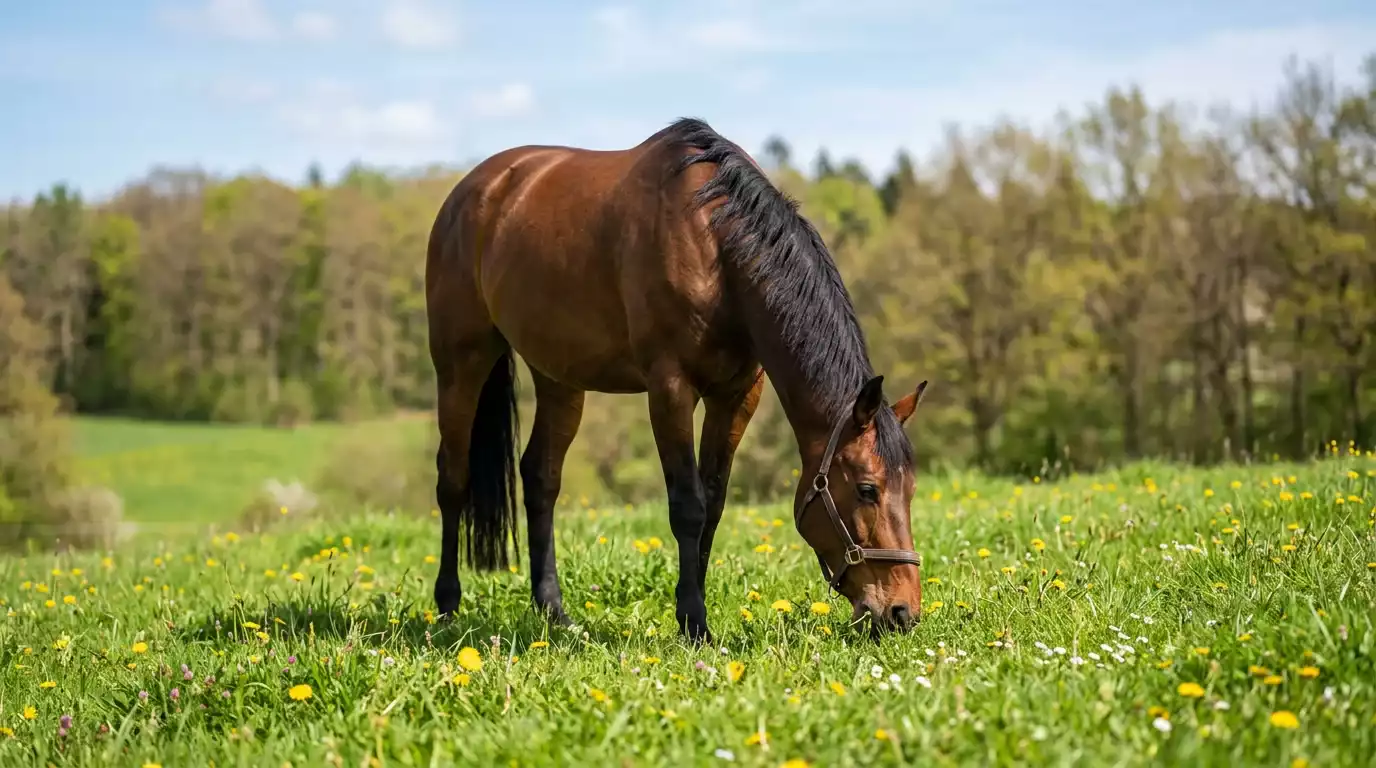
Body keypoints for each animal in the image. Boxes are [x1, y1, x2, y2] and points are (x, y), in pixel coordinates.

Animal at [425, 117, 928, 642]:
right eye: (868, 489)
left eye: (911, 489)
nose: (902, 611)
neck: (715, 245)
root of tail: (475, 190)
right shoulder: (669, 389)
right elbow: (688, 506)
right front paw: (694, 622)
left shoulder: (737, 396)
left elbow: (713, 504)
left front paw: (693, 613)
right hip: (461, 363)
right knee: (452, 478)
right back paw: (447, 606)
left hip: (559, 378)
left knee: (541, 477)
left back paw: (553, 611)